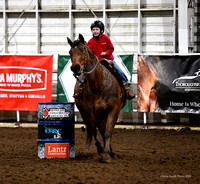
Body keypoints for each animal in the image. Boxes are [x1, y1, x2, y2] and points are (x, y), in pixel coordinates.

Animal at [67, 33, 126, 162]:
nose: (75, 68)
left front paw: (107, 154)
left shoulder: (114, 109)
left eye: (82, 49)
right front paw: (104, 152)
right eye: (70, 52)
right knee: (96, 129)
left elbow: (108, 131)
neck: (98, 84)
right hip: (87, 113)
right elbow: (98, 130)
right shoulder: (91, 112)